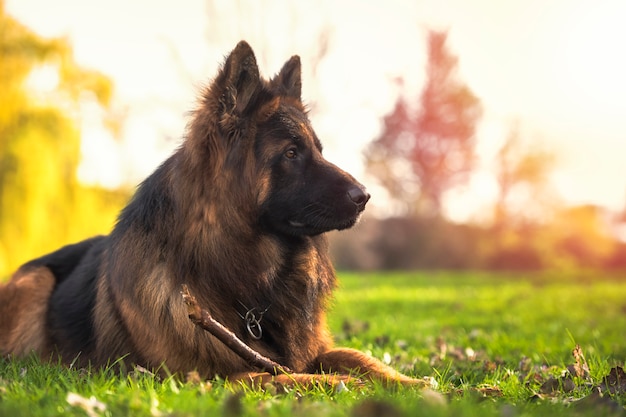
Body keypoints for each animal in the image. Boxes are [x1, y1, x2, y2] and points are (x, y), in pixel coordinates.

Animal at [1, 42, 420, 386]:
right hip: (35, 282)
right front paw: (338, 384)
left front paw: (413, 382)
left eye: (319, 150)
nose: (365, 196)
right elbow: (280, 377)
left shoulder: (315, 348)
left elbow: (359, 357)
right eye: (291, 153)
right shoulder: (205, 376)